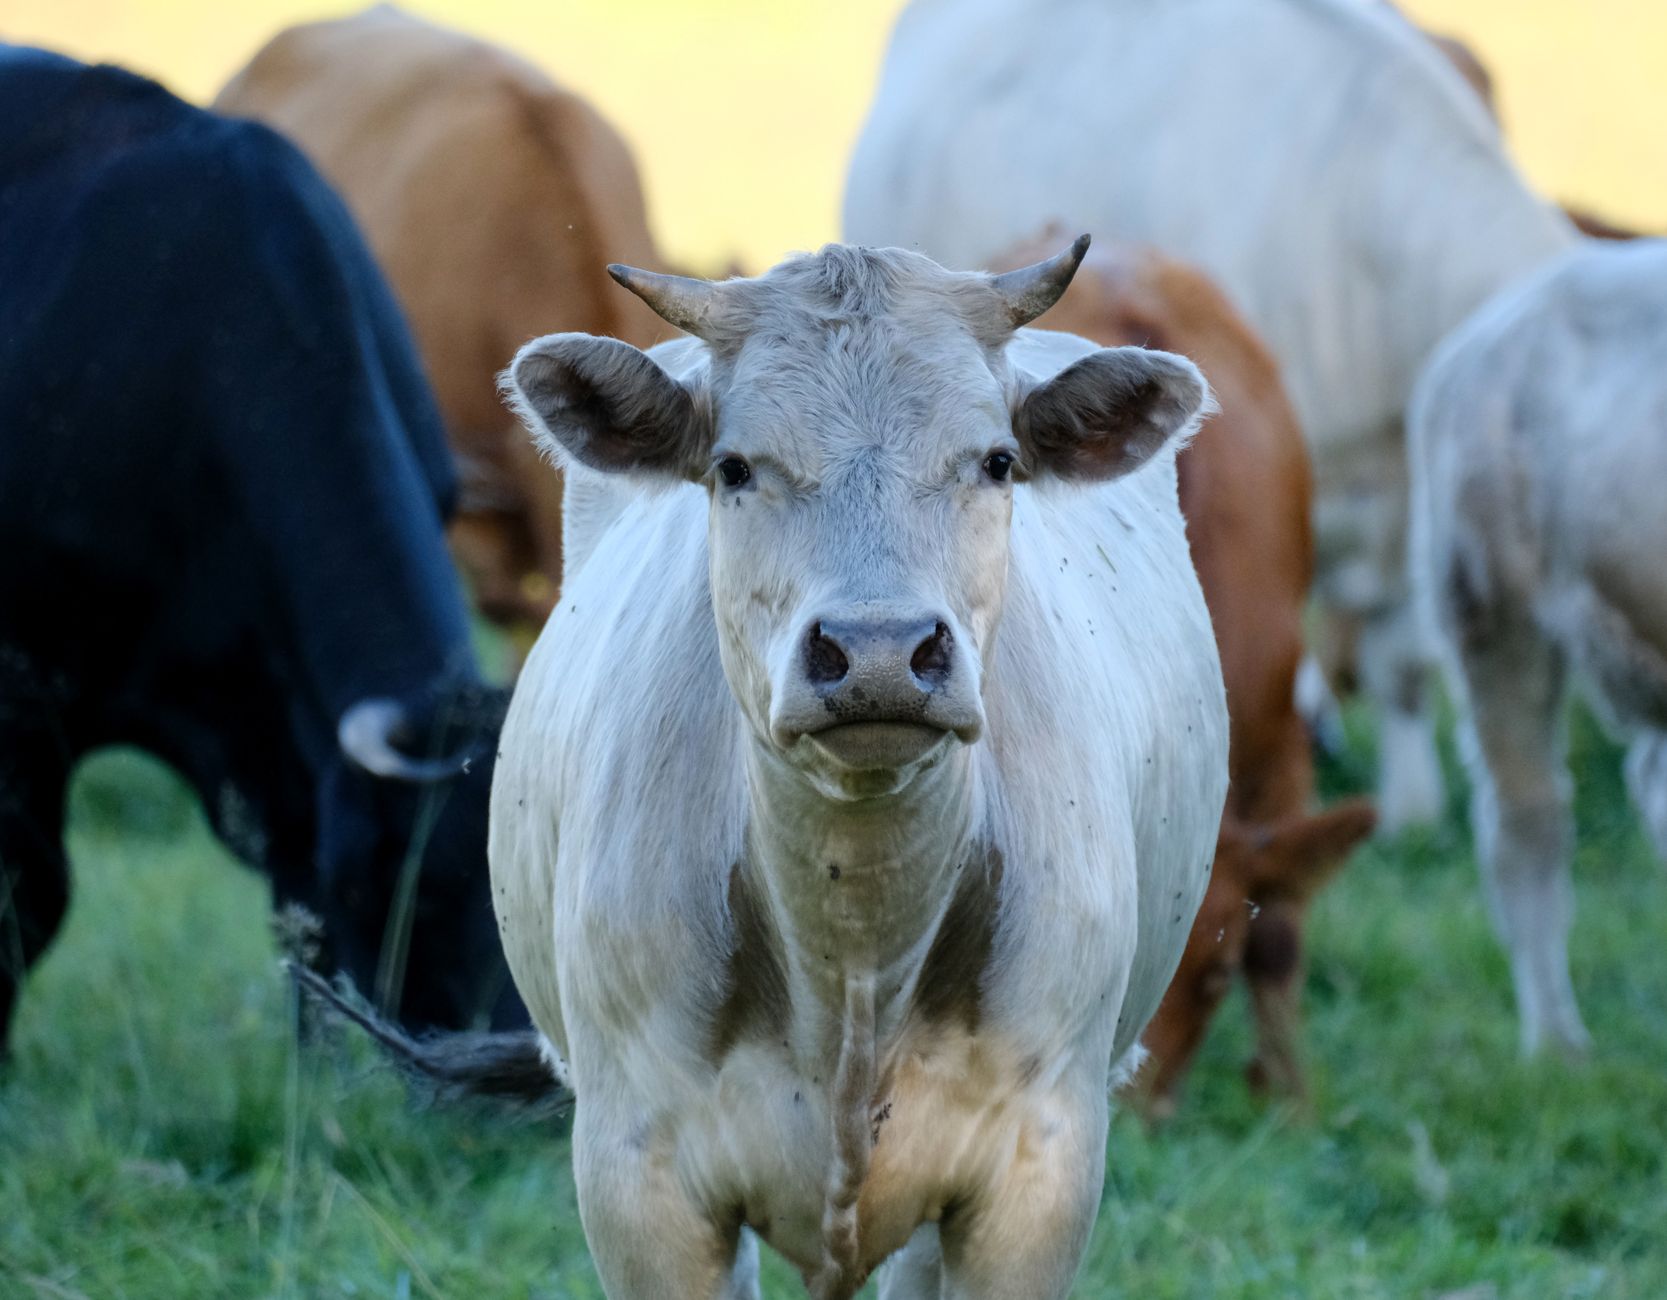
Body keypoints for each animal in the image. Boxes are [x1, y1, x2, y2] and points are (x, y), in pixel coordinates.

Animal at [483, 238, 1229, 1298]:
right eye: (734, 468)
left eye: (997, 462)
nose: (878, 651)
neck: (853, 951)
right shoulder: (638, 1178)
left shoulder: (1037, 1173)